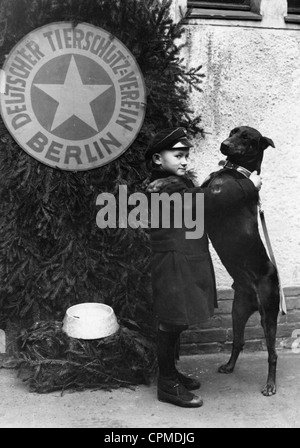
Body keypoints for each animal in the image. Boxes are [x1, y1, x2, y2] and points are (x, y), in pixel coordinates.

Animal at [202, 126, 284, 396]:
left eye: (246, 137)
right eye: (232, 131)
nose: (223, 144)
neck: (234, 169)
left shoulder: (216, 193)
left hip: (268, 313)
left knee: (272, 354)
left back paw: (270, 385)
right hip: (237, 310)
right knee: (238, 341)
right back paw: (229, 366)